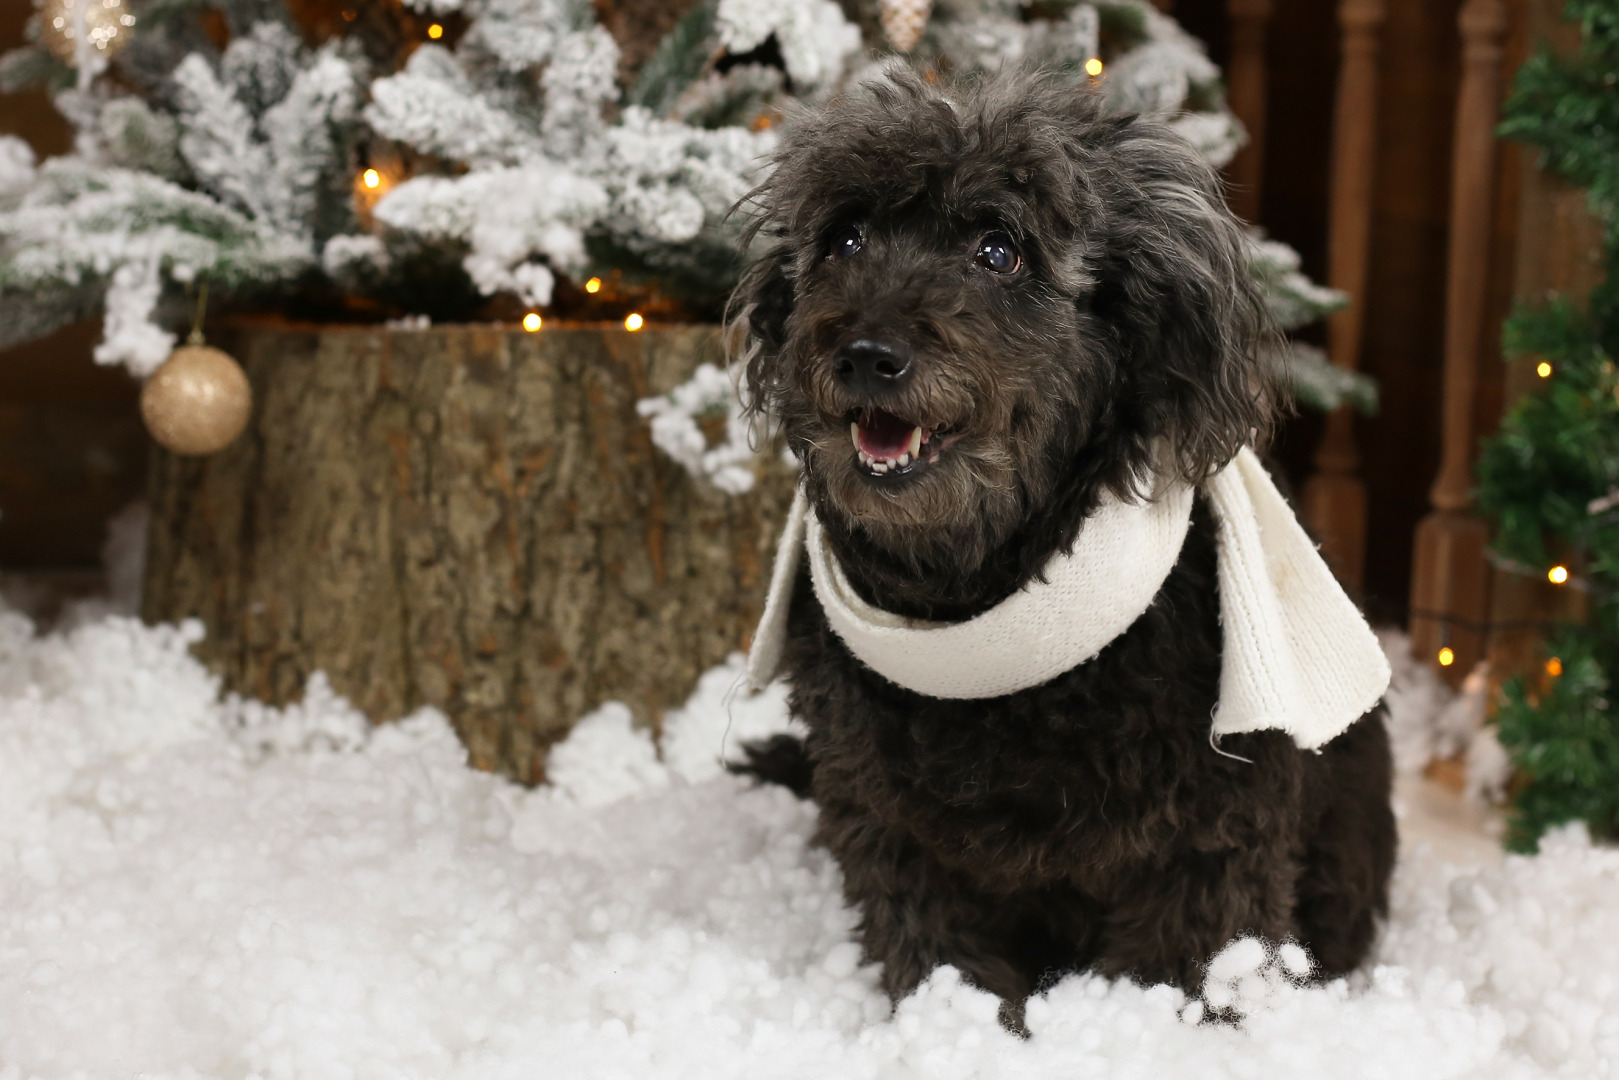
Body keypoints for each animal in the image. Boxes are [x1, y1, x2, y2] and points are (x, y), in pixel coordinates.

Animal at [728, 69, 1398, 1023]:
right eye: (844, 238)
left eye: (998, 250)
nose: (864, 353)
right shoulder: (890, 822)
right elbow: (935, 949)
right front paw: (958, 1029)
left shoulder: (1208, 834)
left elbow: (1187, 960)